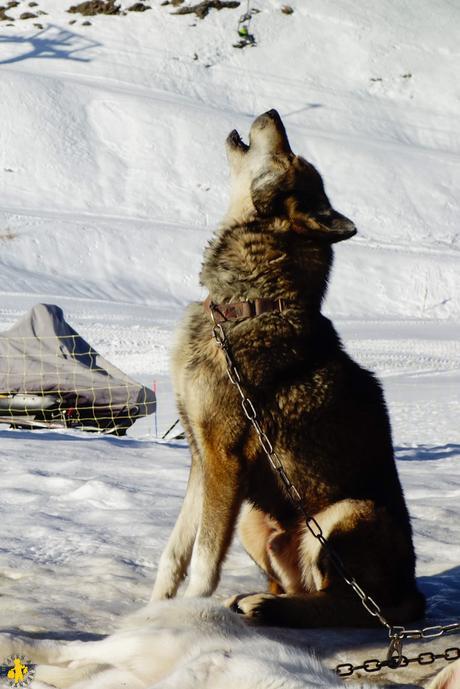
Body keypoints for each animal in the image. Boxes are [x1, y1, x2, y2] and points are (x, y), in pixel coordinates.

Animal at [153, 109, 426, 628]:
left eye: (288, 155)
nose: (273, 113)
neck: (248, 304)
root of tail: (413, 596)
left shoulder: (223, 459)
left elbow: (203, 562)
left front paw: (189, 614)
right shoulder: (200, 456)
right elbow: (174, 551)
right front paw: (154, 607)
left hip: (347, 514)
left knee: (344, 605)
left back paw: (267, 606)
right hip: (255, 521)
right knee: (297, 586)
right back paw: (260, 599)